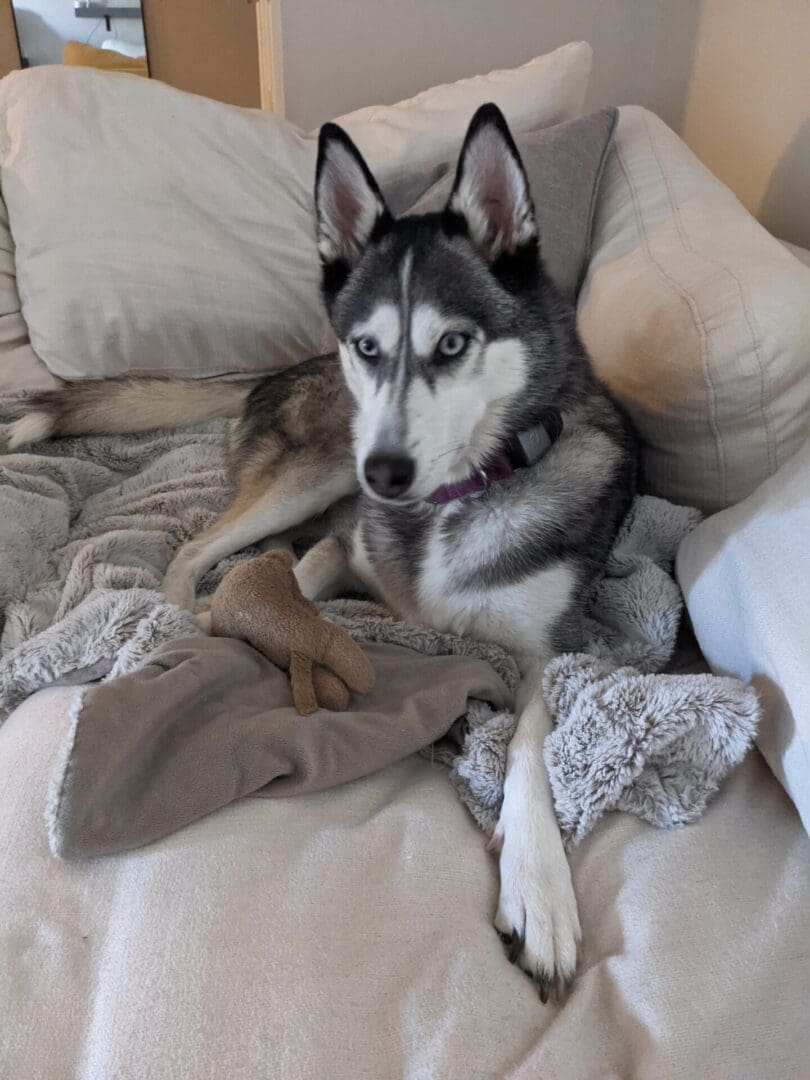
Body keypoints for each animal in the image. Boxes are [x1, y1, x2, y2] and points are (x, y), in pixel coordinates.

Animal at [9, 105, 639, 997]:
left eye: (453, 345)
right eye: (368, 347)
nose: (385, 474)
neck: (454, 499)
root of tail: (278, 367)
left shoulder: (551, 651)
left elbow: (526, 745)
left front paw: (541, 895)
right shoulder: (347, 543)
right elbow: (293, 591)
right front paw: (253, 617)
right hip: (318, 469)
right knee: (195, 547)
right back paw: (180, 609)